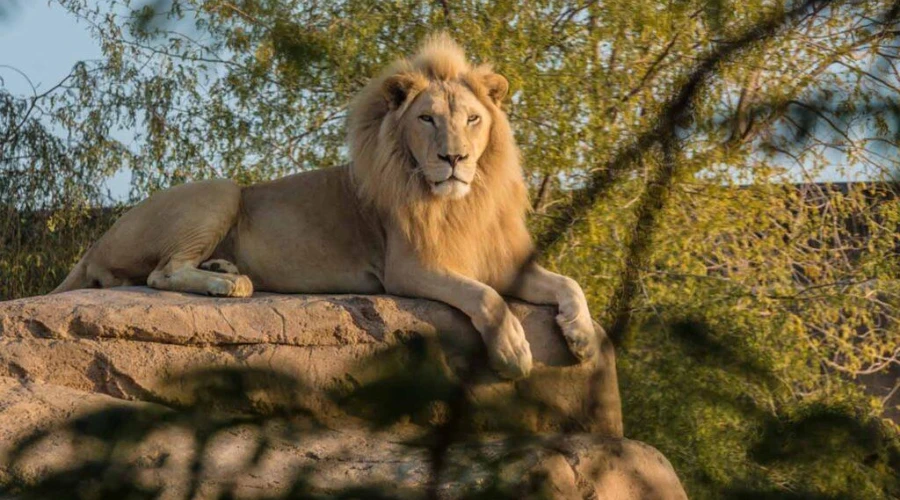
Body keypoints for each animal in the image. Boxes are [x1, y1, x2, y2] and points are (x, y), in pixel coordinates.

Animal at [52, 34, 598, 379]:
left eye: (472, 119)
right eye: (427, 119)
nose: (455, 158)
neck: (463, 204)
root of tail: (94, 245)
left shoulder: (503, 262)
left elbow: (568, 284)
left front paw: (582, 336)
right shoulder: (408, 269)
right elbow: (486, 298)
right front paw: (514, 354)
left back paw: (224, 266)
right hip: (221, 188)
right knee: (160, 273)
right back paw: (230, 284)